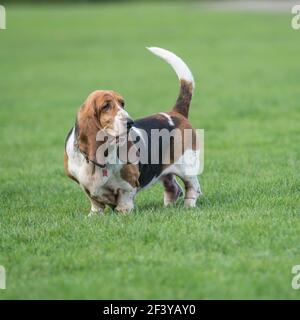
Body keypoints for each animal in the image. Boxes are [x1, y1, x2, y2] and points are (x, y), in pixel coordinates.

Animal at [64, 45, 203, 215]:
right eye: (105, 106)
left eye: (122, 103)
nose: (130, 122)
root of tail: (175, 113)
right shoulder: (85, 187)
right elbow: (95, 202)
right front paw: (95, 215)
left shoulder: (128, 183)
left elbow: (125, 198)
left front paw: (123, 213)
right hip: (164, 171)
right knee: (173, 188)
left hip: (186, 167)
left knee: (193, 188)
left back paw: (188, 206)